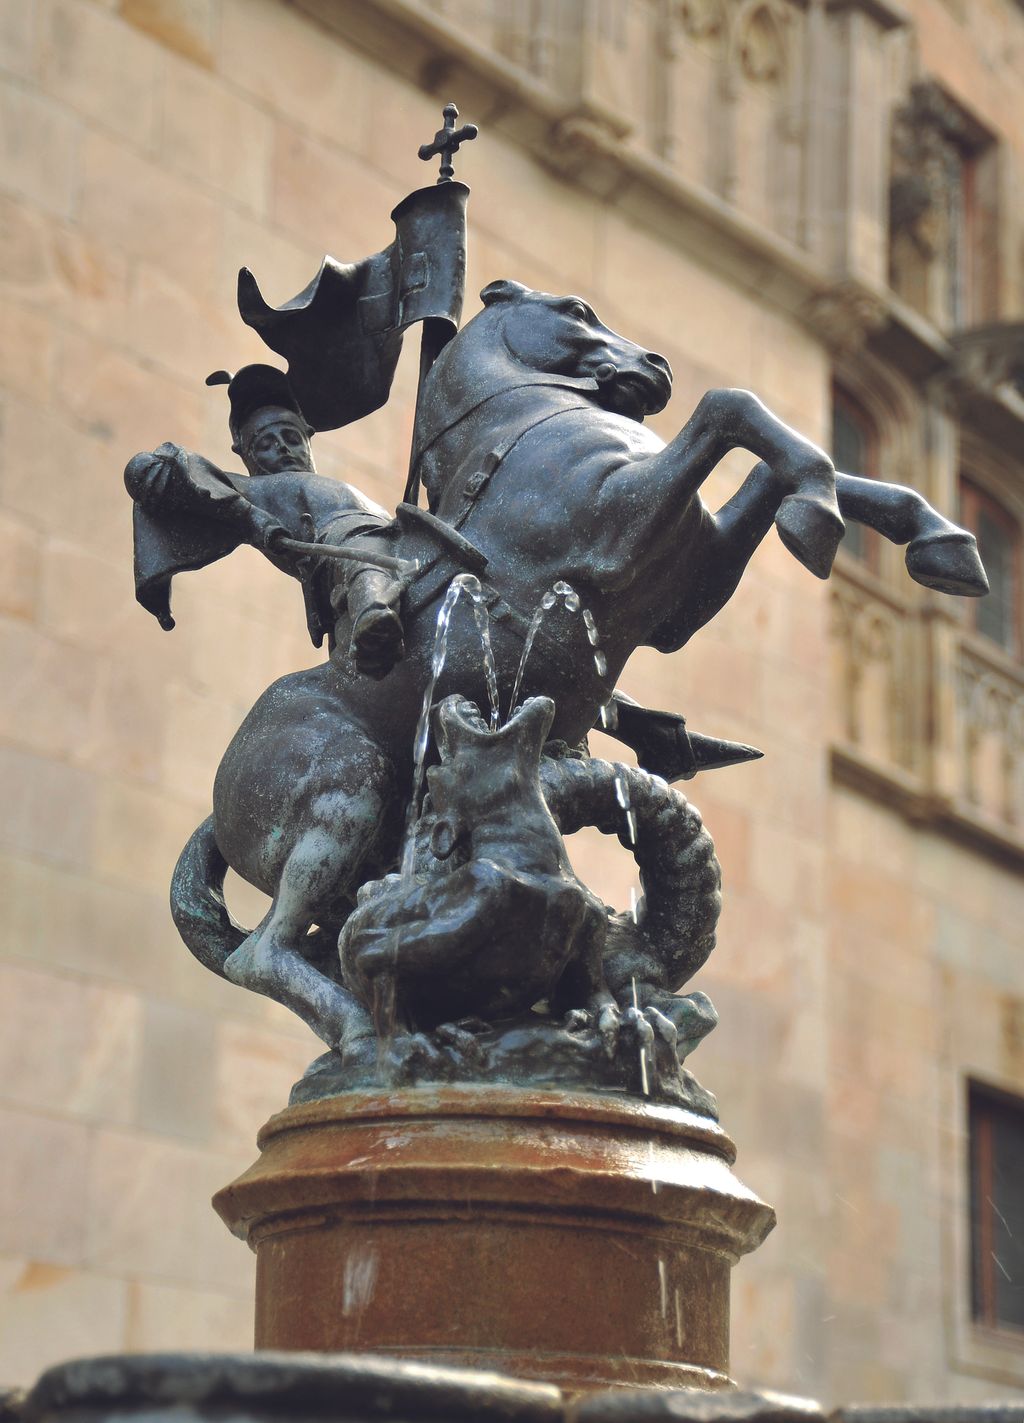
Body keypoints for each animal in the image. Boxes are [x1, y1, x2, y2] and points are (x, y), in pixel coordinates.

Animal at [172, 277, 989, 1058]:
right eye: (576, 308)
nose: (656, 367)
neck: (526, 427)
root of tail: (218, 799)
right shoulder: (624, 530)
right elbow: (731, 409)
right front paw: (819, 516)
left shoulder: (692, 589)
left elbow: (775, 464)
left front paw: (934, 538)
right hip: (344, 792)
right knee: (262, 953)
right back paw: (367, 1038)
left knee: (327, 943)